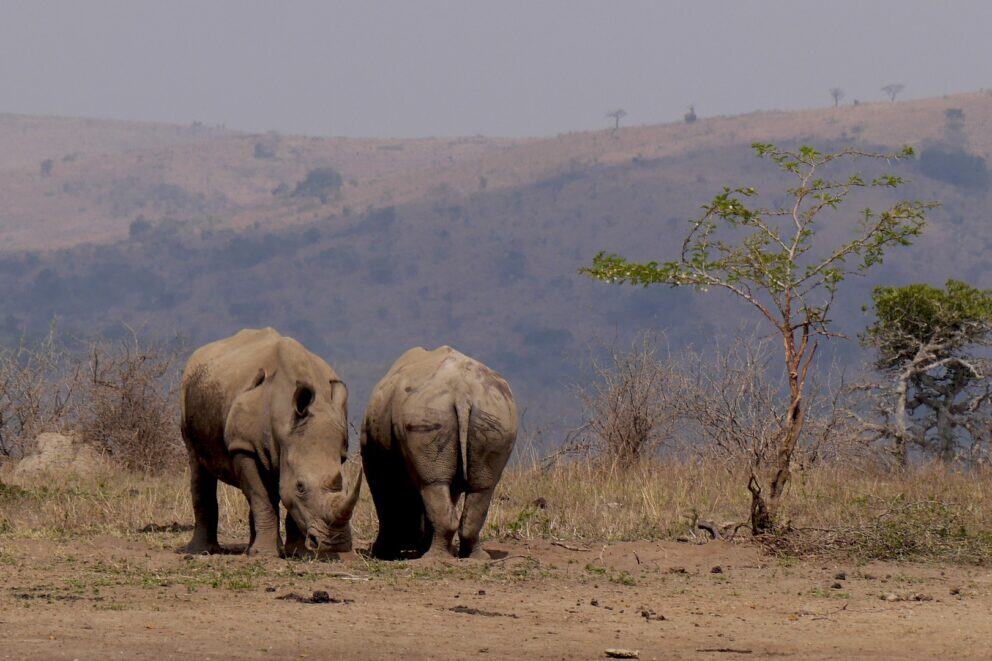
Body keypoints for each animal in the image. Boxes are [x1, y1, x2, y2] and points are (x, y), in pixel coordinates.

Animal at [179, 328, 361, 557]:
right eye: (301, 486)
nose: (335, 543)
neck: (284, 424)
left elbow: (285, 497)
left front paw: (298, 553)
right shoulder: (244, 446)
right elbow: (262, 497)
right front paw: (265, 555)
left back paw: (251, 548)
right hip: (188, 391)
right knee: (197, 463)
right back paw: (203, 551)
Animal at [361, 346, 517, 559]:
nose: (410, 544)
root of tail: (463, 392)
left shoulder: (374, 456)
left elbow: (384, 497)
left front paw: (382, 553)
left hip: (428, 412)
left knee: (432, 484)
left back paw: (432, 558)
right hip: (495, 412)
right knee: (479, 487)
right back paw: (474, 557)